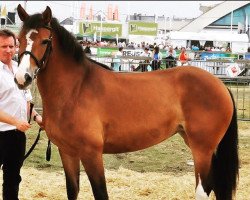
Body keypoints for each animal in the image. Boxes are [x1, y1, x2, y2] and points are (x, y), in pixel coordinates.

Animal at [15, 4, 238, 200]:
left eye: (45, 41)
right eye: (19, 39)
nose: (22, 78)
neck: (75, 89)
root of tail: (219, 84)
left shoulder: (91, 153)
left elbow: (101, 193)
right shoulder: (67, 152)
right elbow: (73, 191)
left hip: (202, 149)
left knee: (203, 189)